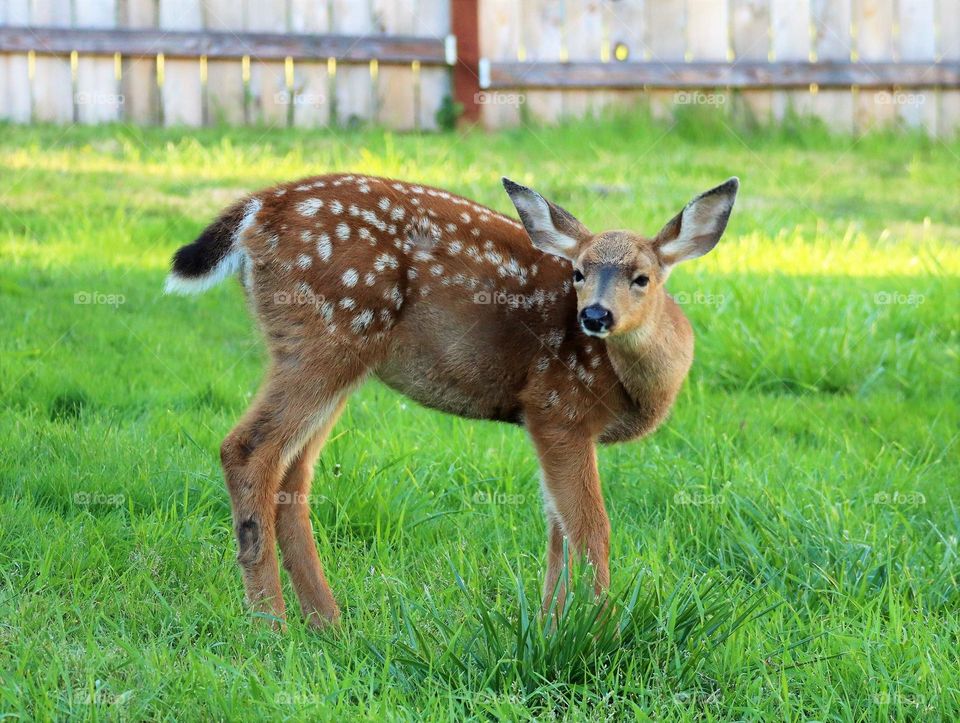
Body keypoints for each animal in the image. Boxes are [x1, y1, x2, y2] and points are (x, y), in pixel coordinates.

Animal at [164, 172, 739, 629]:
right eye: (578, 272)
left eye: (642, 278)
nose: (594, 316)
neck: (638, 386)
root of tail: (256, 209)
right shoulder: (557, 405)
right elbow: (590, 529)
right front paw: (597, 632)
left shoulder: (552, 424)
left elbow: (557, 533)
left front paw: (552, 626)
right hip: (326, 337)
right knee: (247, 451)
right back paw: (272, 625)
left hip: (331, 356)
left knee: (293, 474)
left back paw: (328, 624)